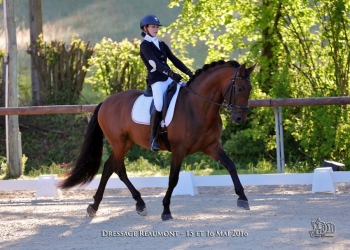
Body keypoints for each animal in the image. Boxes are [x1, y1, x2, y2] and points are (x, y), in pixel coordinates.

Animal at [58, 60, 256, 221]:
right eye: (239, 88)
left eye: (250, 89)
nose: (240, 118)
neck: (198, 106)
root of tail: (106, 102)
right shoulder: (179, 149)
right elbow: (173, 179)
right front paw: (166, 211)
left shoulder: (211, 146)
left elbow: (231, 165)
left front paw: (243, 199)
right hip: (119, 142)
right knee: (119, 169)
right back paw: (139, 204)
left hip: (126, 142)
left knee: (108, 167)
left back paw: (95, 206)